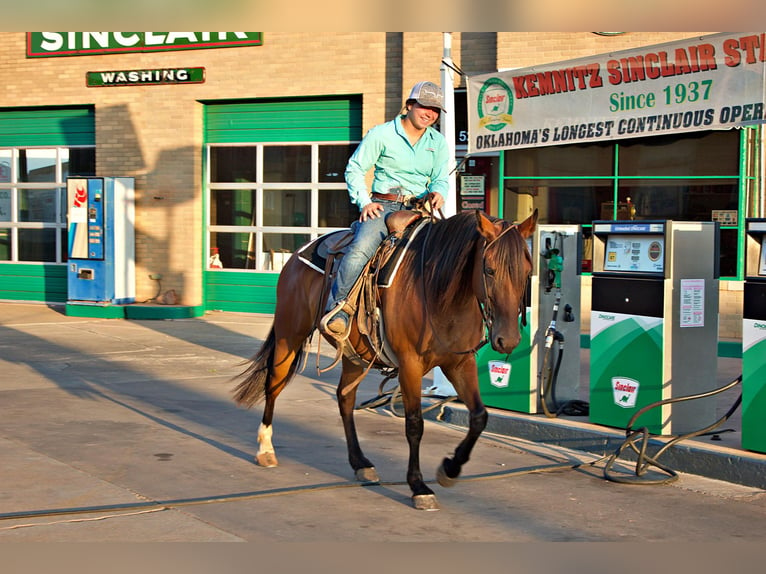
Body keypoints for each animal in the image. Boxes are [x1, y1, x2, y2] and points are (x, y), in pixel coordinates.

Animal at [234, 208, 540, 512]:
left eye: (527, 272)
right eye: (489, 270)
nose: (508, 340)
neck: (439, 291)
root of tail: (299, 252)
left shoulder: (459, 364)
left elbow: (479, 417)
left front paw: (450, 469)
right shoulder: (410, 365)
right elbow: (414, 424)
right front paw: (418, 486)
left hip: (355, 355)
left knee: (344, 398)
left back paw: (360, 463)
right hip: (289, 334)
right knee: (274, 384)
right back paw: (265, 448)